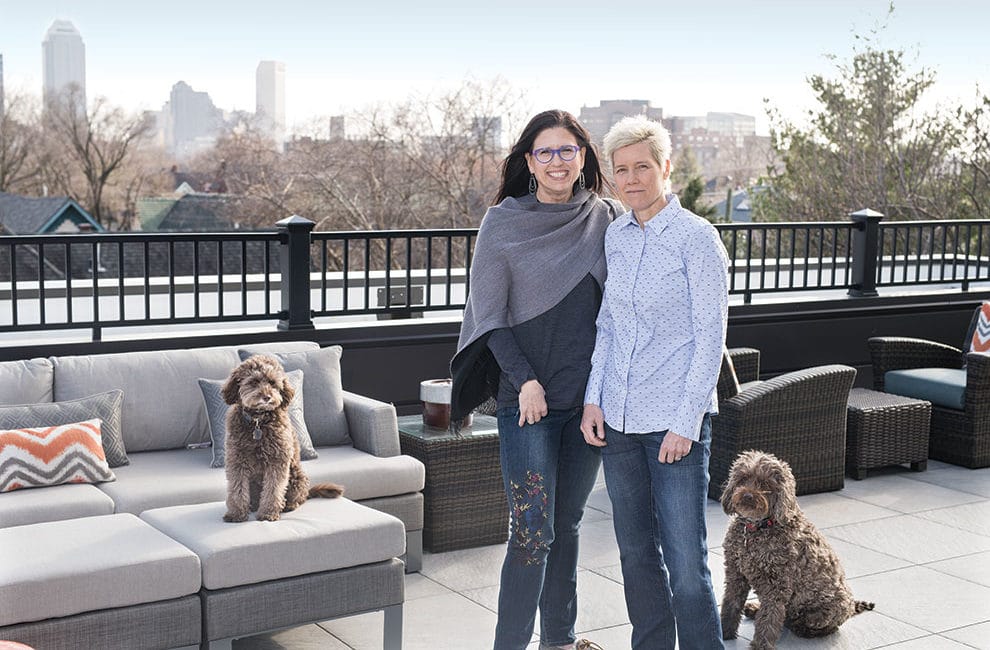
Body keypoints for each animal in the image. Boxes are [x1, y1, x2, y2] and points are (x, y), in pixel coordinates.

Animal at [221, 352, 344, 520]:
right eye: (254, 382)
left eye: (273, 383)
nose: (267, 397)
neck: (258, 421)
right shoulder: (236, 460)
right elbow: (236, 488)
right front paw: (236, 514)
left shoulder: (277, 460)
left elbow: (274, 489)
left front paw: (268, 513)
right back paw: (252, 506)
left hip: (297, 476)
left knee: (298, 498)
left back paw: (289, 505)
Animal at [720, 450, 876, 648]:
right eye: (743, 478)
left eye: (765, 484)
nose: (747, 496)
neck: (756, 528)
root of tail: (850, 606)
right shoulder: (735, 574)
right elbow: (730, 605)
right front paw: (723, 633)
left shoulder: (777, 587)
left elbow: (768, 620)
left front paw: (760, 645)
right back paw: (755, 609)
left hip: (823, 611)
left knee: (823, 626)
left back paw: (800, 627)